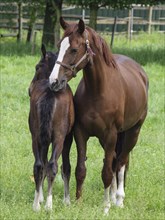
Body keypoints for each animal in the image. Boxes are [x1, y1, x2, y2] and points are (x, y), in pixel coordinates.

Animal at [28, 44, 74, 211]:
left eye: (37, 67)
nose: (29, 90)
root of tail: (49, 93)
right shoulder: (67, 137)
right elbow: (62, 166)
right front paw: (65, 200)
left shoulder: (43, 138)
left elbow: (43, 162)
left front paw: (40, 197)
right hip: (59, 138)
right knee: (52, 165)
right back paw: (49, 204)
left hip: (36, 137)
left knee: (39, 165)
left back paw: (36, 205)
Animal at [48, 18, 148, 214]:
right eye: (59, 45)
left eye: (74, 49)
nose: (54, 81)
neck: (98, 91)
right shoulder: (81, 134)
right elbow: (80, 170)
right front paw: (79, 202)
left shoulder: (110, 135)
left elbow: (107, 173)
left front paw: (106, 207)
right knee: (115, 160)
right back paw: (113, 195)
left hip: (133, 132)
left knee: (121, 162)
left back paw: (118, 199)